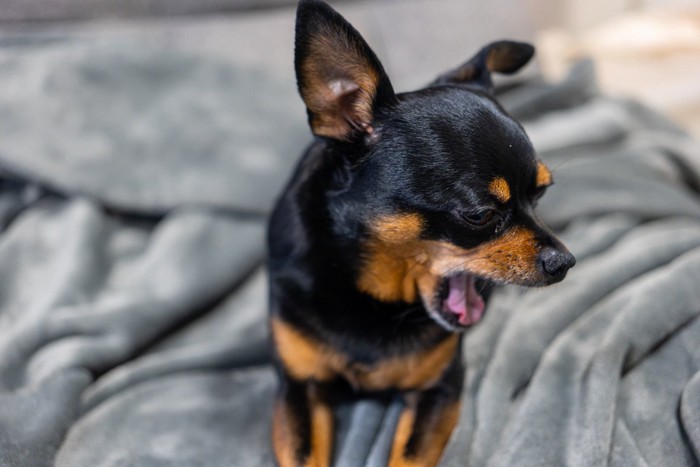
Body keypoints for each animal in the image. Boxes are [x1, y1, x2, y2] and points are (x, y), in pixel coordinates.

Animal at [268, 1, 576, 466]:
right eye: (479, 214)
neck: (377, 295)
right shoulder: (299, 389)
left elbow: (408, 457)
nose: (565, 261)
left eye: (540, 193)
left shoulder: (439, 391)